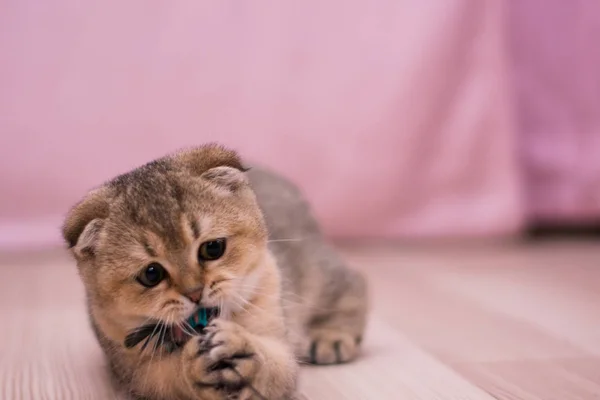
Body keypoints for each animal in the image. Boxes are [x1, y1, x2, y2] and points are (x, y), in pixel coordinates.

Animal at [63, 145, 368, 400]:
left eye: (212, 248)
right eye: (151, 275)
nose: (195, 293)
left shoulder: (276, 325)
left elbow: (277, 368)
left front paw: (244, 351)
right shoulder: (134, 372)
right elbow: (168, 379)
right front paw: (190, 367)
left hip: (316, 271)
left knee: (354, 283)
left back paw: (330, 336)